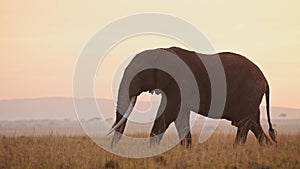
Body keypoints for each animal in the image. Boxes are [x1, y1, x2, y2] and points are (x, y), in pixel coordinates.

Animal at [108, 46, 276, 148]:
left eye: (138, 75)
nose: (114, 150)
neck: (160, 51)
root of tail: (266, 80)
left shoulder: (179, 83)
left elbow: (167, 116)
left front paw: (150, 152)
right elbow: (179, 118)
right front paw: (187, 151)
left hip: (250, 92)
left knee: (243, 124)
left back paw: (237, 151)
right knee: (254, 123)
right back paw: (269, 149)